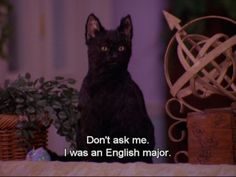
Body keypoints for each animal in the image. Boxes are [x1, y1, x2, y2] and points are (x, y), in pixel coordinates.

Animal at [48, 13, 155, 163]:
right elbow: (93, 146)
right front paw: (95, 162)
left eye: (121, 48)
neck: (105, 82)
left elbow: (117, 147)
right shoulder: (89, 120)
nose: (114, 55)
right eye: (104, 48)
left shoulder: (122, 121)